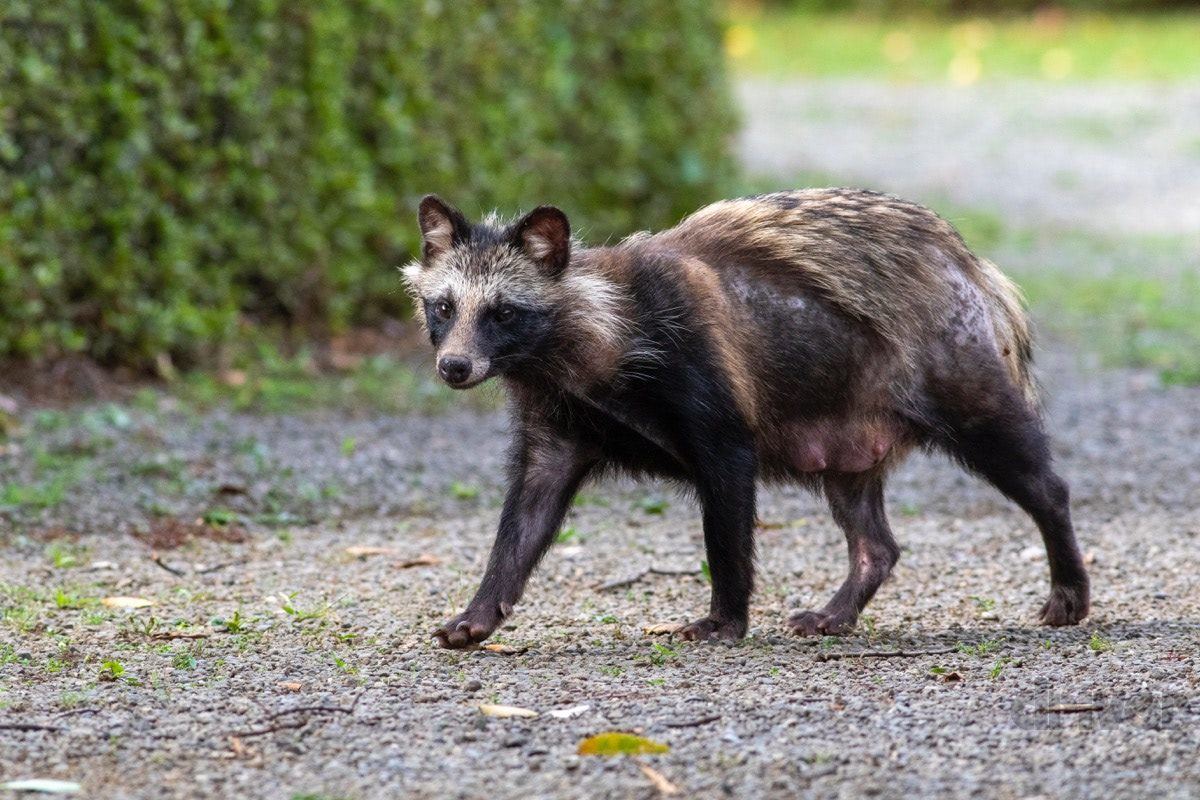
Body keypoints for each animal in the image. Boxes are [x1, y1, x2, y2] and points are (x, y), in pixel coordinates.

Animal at [400, 190, 1089, 647]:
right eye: (444, 306)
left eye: (503, 312)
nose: (455, 365)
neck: (588, 353)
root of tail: (974, 269)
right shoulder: (556, 427)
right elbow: (525, 520)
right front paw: (475, 615)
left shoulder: (703, 389)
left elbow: (726, 516)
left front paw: (722, 619)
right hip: (847, 430)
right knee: (874, 538)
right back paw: (837, 610)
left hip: (956, 369)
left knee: (1037, 478)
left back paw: (1069, 591)